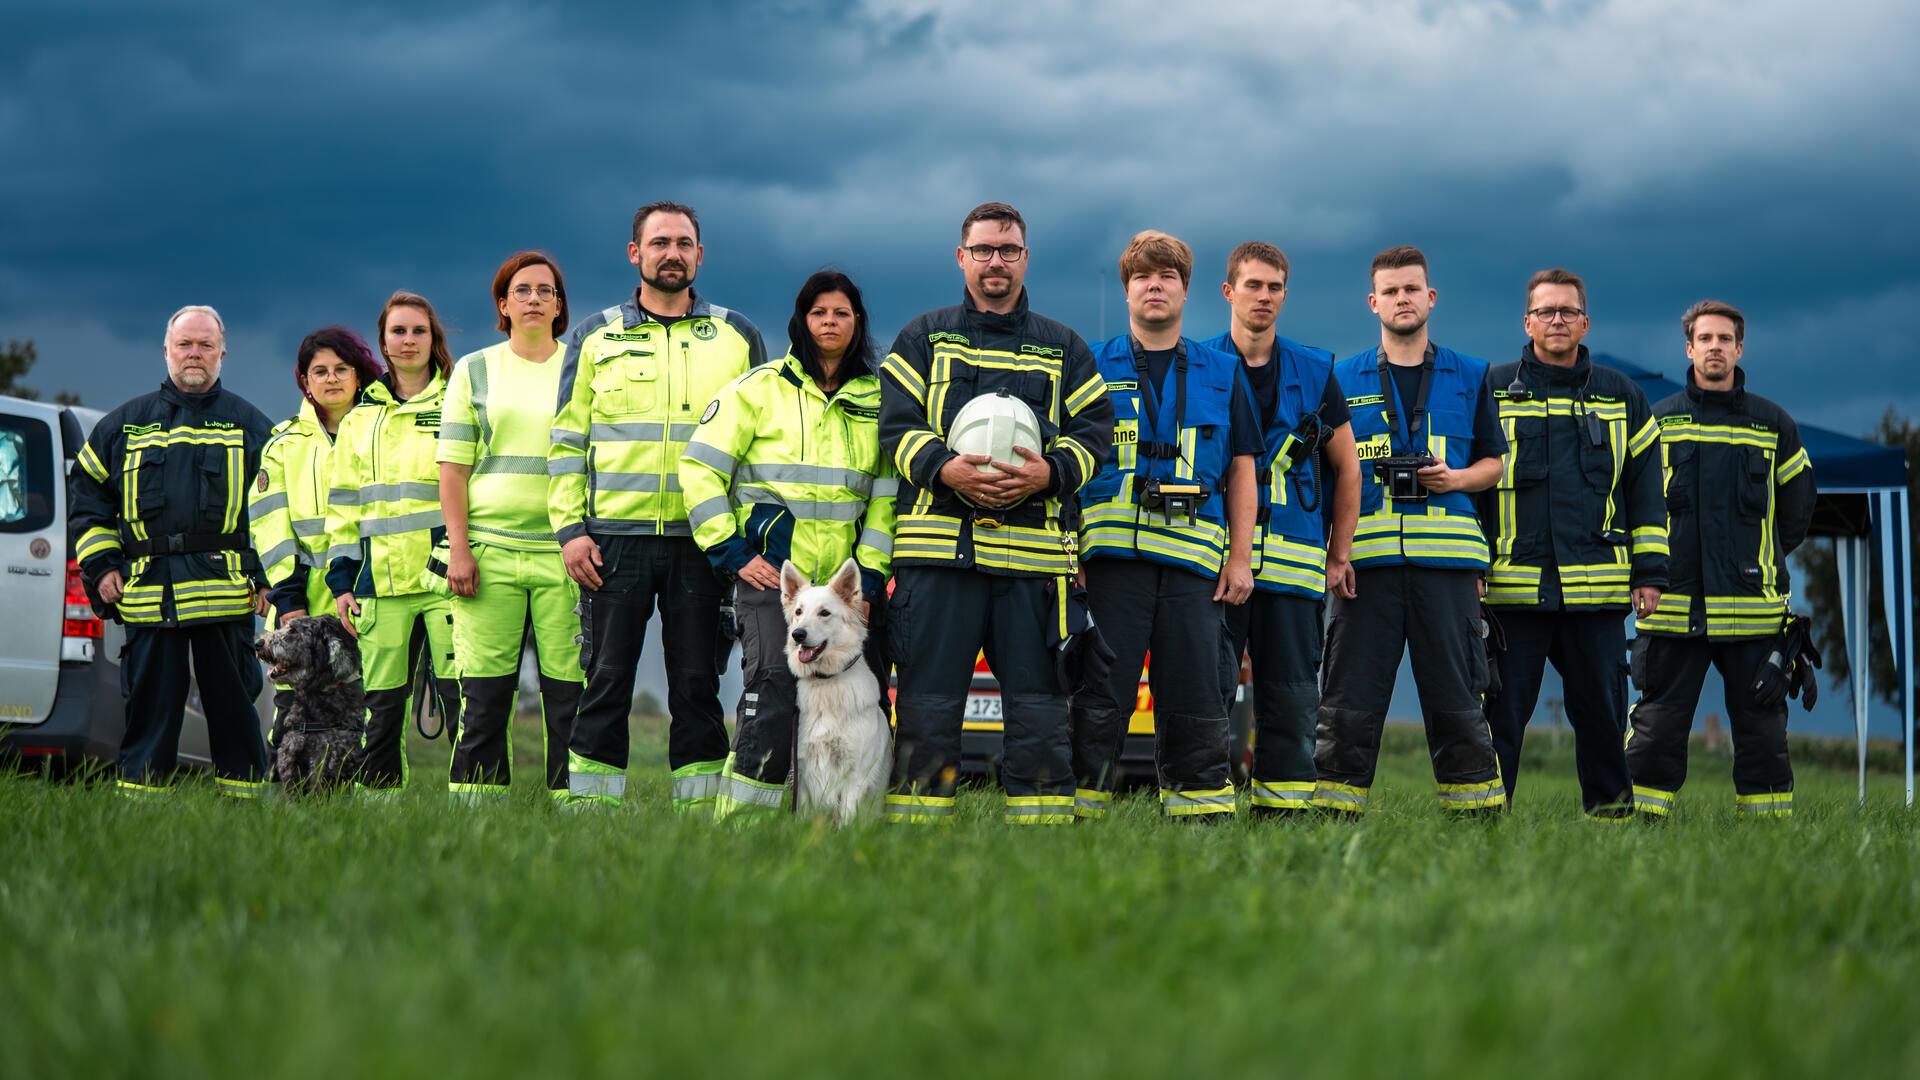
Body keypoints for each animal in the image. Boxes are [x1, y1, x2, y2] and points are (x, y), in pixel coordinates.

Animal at [779, 557, 890, 818]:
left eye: (824, 613)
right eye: (798, 612)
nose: (798, 634)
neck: (826, 682)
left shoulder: (854, 776)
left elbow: (847, 817)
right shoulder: (804, 771)